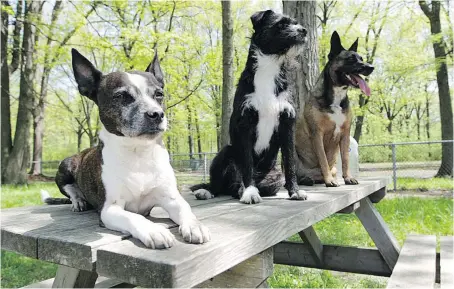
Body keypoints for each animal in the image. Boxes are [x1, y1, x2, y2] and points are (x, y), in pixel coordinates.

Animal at [40, 49, 210, 248]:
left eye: (159, 94)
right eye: (121, 96)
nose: (156, 114)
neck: (138, 153)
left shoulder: (172, 199)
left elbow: (186, 209)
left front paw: (194, 225)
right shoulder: (110, 209)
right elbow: (134, 217)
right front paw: (153, 230)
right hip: (66, 164)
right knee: (70, 190)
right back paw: (79, 201)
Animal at [192, 10, 308, 202]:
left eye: (295, 22)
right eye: (282, 24)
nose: (304, 30)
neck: (269, 68)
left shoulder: (287, 123)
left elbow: (290, 162)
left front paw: (295, 191)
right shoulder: (245, 123)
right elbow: (247, 164)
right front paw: (250, 192)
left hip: (275, 176)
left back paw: (239, 190)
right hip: (224, 154)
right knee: (219, 184)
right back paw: (209, 191)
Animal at [294, 31, 372, 187]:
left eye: (361, 58)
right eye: (350, 59)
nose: (371, 67)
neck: (336, 95)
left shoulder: (345, 134)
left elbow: (346, 159)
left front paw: (348, 178)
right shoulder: (317, 134)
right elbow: (323, 159)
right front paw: (329, 180)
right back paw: (307, 179)